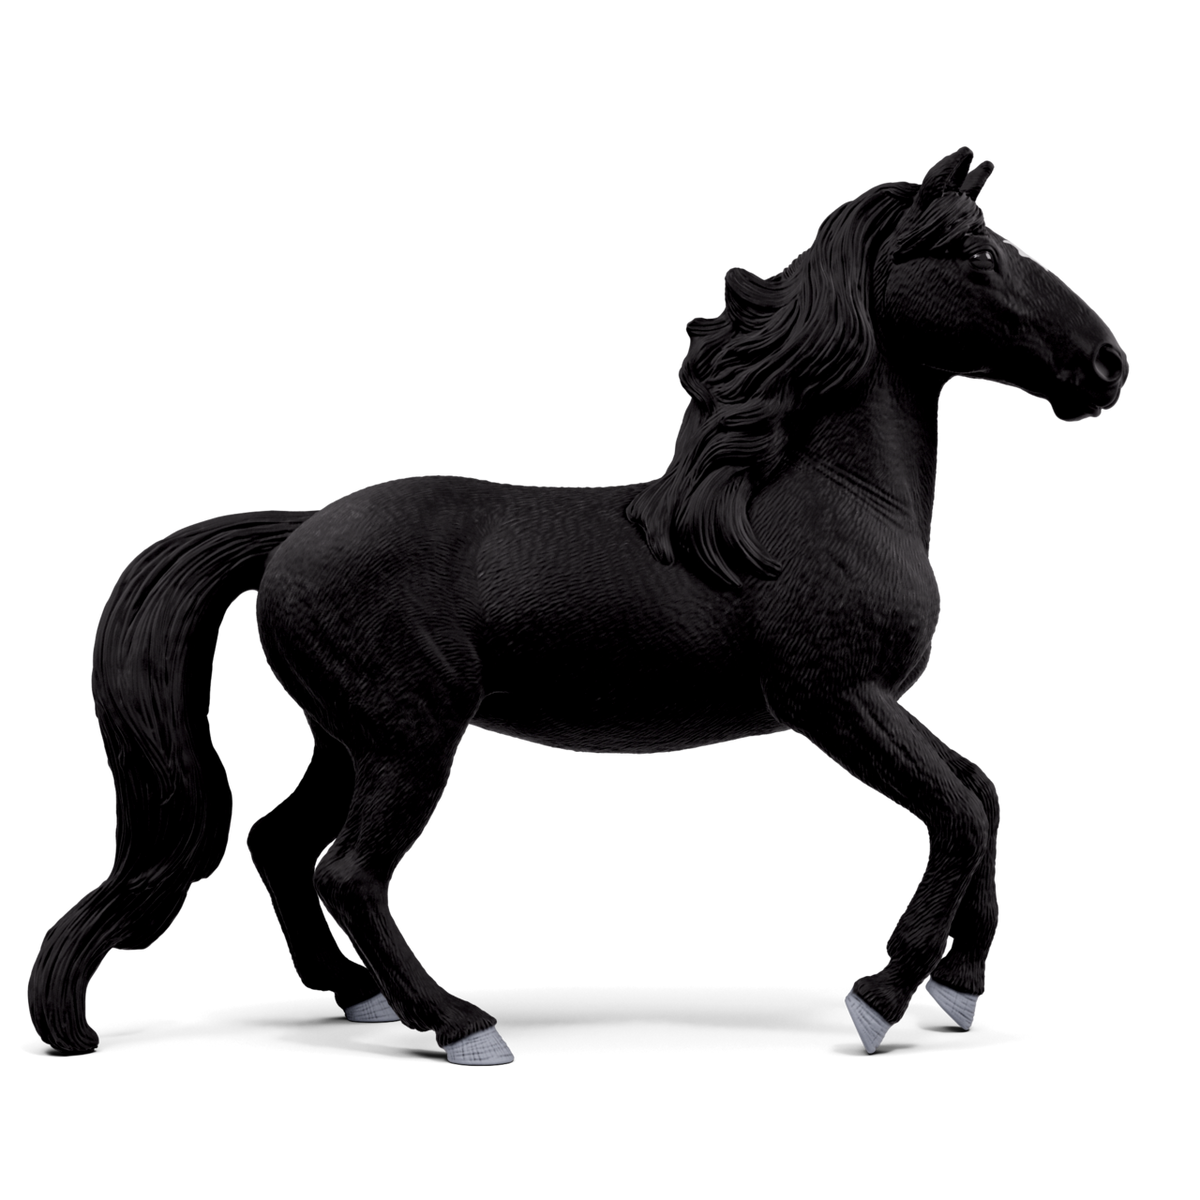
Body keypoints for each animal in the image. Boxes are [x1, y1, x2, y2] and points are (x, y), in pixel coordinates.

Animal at [26, 144, 1129, 1060]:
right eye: (980, 251)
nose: (1108, 366)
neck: (833, 497)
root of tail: (293, 534)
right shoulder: (832, 700)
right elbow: (959, 814)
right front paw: (881, 997)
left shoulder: (878, 702)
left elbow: (985, 791)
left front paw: (961, 987)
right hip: (411, 740)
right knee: (346, 870)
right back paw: (462, 1028)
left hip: (345, 737)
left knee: (278, 845)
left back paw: (359, 1000)